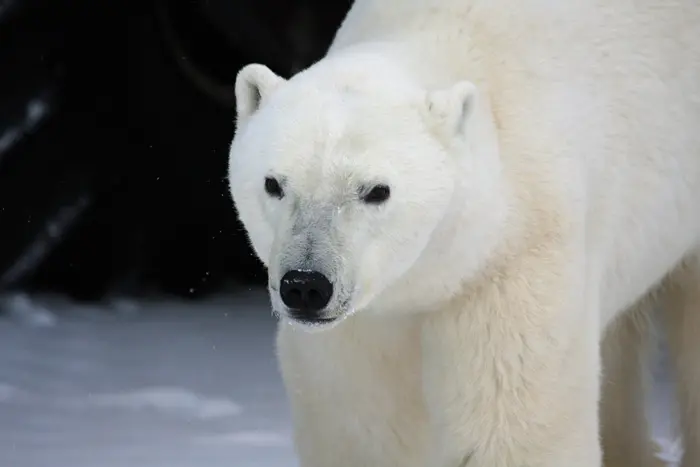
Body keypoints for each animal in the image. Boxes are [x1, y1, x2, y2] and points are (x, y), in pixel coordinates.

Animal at [227, 0, 696, 467]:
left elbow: (514, 428)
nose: (305, 285)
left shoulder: (515, 260)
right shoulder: (360, 326)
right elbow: (361, 428)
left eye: (376, 190)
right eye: (274, 183)